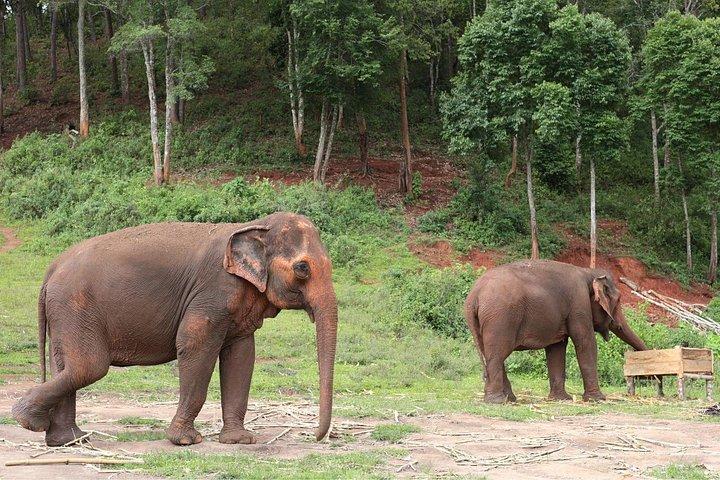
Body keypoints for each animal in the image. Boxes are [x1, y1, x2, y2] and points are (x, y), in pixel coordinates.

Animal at [12, 212, 338, 447]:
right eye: (302, 269)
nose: (316, 437)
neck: (252, 226)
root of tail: (50, 270)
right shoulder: (213, 293)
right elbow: (194, 344)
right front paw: (185, 441)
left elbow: (242, 355)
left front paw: (238, 441)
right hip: (74, 308)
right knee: (88, 366)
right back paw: (28, 421)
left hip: (65, 312)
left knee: (66, 366)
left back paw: (69, 441)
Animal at [464, 260, 647, 403]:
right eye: (618, 300)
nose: (645, 377)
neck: (588, 272)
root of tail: (474, 296)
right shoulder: (579, 304)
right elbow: (585, 342)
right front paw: (598, 399)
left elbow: (556, 348)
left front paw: (561, 399)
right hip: (501, 318)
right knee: (497, 355)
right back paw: (497, 401)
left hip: (484, 322)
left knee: (491, 353)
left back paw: (509, 399)